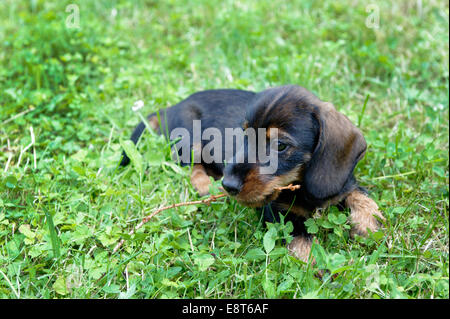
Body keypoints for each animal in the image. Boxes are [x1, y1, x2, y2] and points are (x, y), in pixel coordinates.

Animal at [121, 84, 384, 262]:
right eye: (244, 135)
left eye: (280, 145)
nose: (229, 185)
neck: (302, 187)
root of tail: (170, 108)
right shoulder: (278, 213)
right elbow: (301, 237)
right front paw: (316, 263)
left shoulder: (345, 182)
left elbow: (362, 195)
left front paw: (368, 224)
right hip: (190, 138)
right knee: (190, 165)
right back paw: (205, 183)